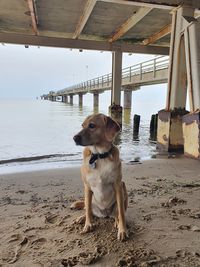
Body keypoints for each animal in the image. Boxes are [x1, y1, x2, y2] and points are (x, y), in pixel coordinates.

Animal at [72, 114, 128, 242]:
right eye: (82, 125)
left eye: (92, 125)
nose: (74, 138)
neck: (99, 156)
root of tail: (104, 213)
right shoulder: (87, 187)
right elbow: (88, 209)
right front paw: (88, 224)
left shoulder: (118, 185)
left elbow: (122, 213)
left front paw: (122, 230)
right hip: (89, 197)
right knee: (88, 209)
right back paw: (82, 218)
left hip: (123, 187)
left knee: (117, 213)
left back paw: (116, 221)